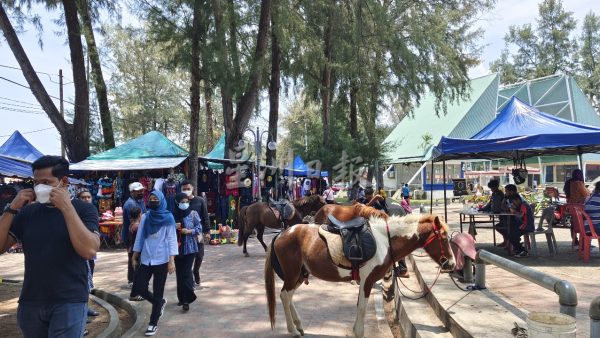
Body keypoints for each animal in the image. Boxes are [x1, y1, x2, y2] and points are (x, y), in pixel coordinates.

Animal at [264, 214, 458, 338]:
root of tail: (282, 234)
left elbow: (359, 306)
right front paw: (358, 333)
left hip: (299, 275)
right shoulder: (368, 281)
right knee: (284, 295)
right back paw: (293, 330)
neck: (385, 241)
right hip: (292, 275)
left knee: (288, 296)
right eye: (443, 237)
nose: (452, 264)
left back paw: (298, 326)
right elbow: (363, 308)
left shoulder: (365, 282)